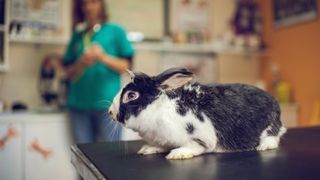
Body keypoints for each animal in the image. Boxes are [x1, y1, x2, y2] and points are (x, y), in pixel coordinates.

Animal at [109, 68, 286, 160]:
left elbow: (196, 146)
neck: (158, 110)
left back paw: (264, 146)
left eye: (132, 95)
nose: (110, 112)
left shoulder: (200, 136)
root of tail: (274, 101)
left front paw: (178, 154)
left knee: (274, 136)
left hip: (269, 127)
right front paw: (148, 149)